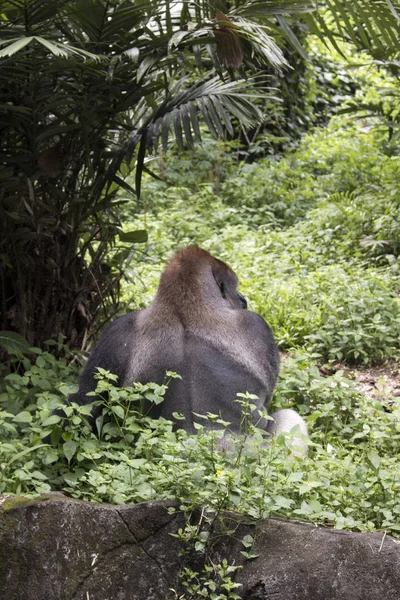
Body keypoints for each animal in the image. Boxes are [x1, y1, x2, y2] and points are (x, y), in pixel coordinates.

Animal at [53, 246, 306, 458]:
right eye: (235, 289)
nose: (243, 299)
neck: (185, 304)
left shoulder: (115, 331)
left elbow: (84, 403)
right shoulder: (257, 324)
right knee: (290, 417)